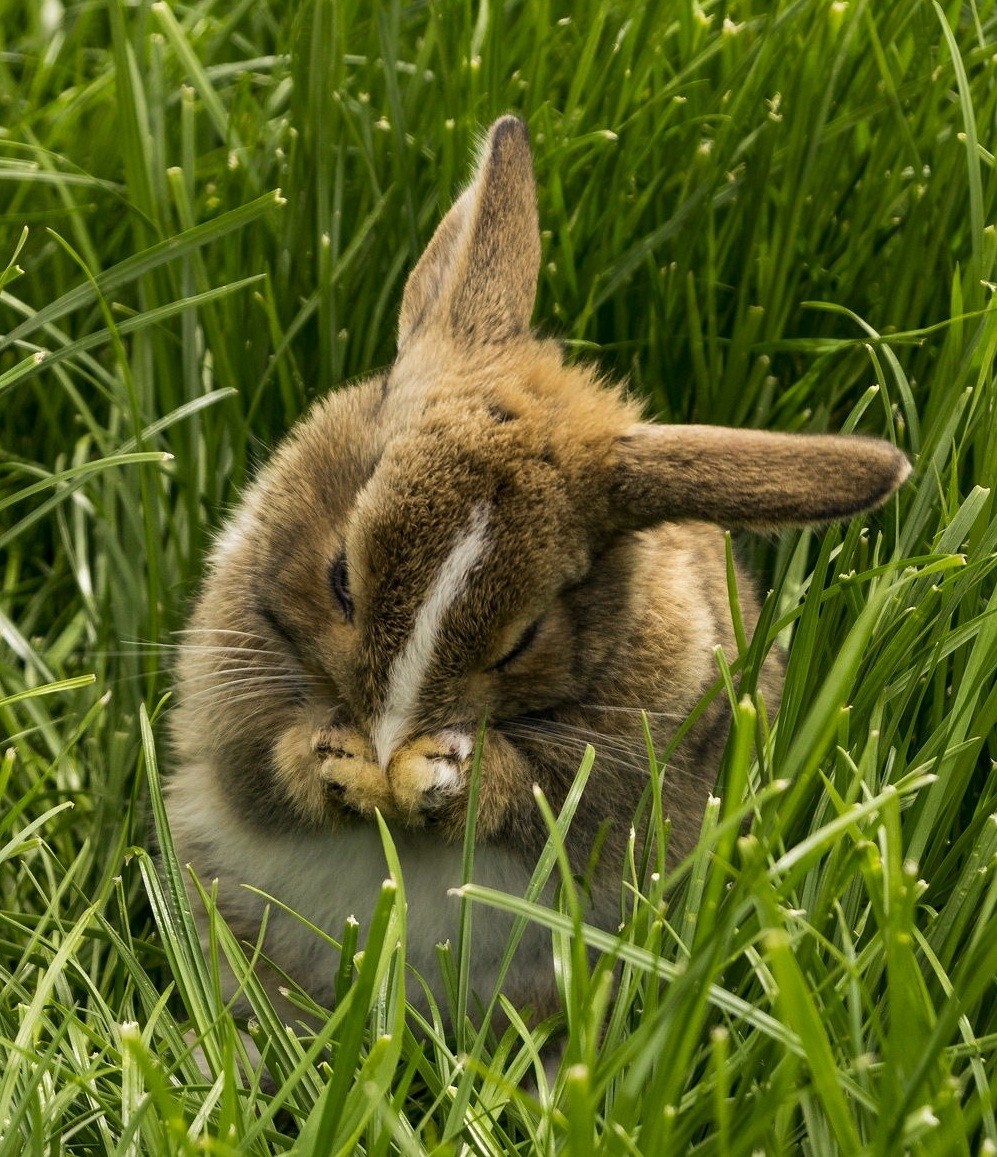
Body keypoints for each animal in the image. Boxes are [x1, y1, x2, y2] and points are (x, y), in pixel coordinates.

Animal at [164, 112, 911, 1027]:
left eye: (521, 640)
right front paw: (328, 757)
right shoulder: (224, 688)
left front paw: (454, 777)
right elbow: (259, 763)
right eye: (341, 578)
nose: (388, 736)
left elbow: (548, 801)